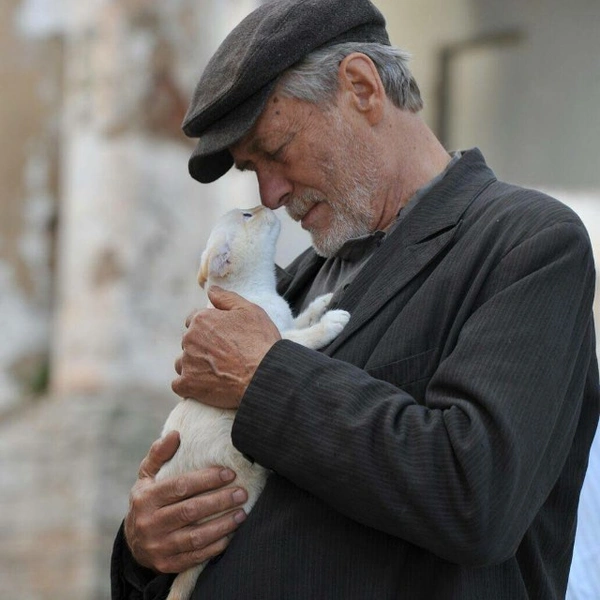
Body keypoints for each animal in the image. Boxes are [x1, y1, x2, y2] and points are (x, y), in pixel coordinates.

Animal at [157, 204, 350, 596]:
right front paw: (333, 321)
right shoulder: (274, 339)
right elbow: (304, 337)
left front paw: (324, 301)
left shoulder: (283, 321)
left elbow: (302, 315)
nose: (266, 206)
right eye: (247, 215)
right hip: (244, 480)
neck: (251, 289)